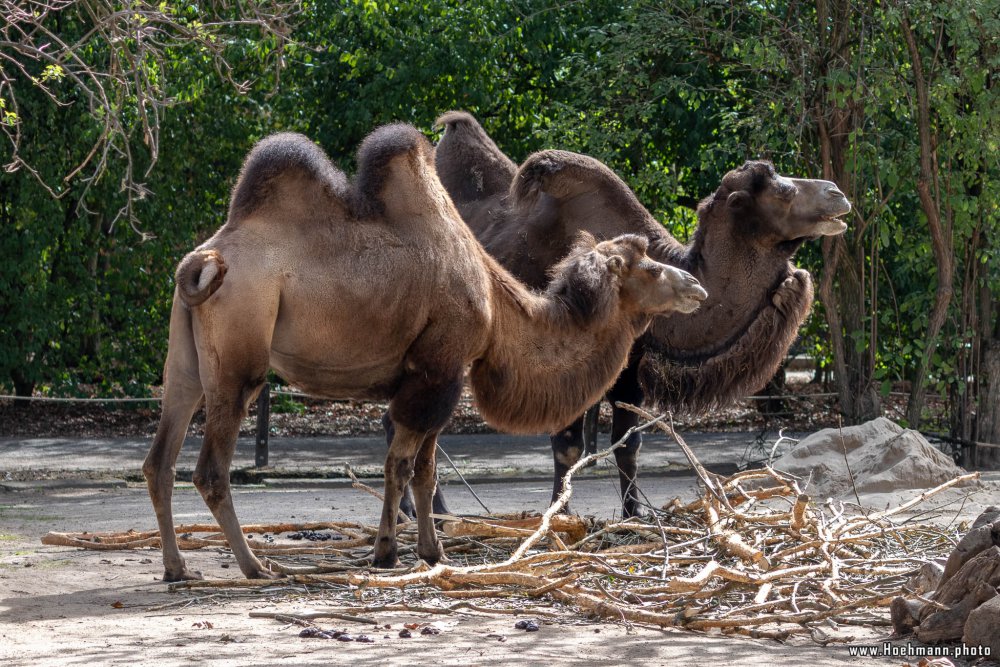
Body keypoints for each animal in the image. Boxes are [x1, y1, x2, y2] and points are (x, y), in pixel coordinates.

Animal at [143, 124, 712, 580]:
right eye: (647, 267)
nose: (695, 287)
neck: (495, 309)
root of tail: (204, 260)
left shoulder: (440, 375)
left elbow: (424, 468)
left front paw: (433, 551)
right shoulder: (439, 370)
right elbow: (402, 465)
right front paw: (389, 552)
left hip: (185, 359)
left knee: (160, 458)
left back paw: (177, 568)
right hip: (240, 357)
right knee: (210, 469)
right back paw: (254, 566)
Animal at [434, 111, 848, 516]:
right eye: (783, 191)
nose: (838, 194)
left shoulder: (631, 362)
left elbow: (627, 444)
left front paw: (634, 517)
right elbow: (568, 445)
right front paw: (561, 518)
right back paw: (439, 514)